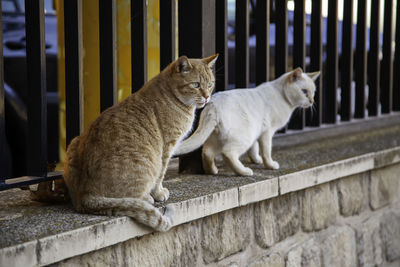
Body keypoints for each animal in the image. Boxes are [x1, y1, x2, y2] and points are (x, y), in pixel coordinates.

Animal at [63, 55, 219, 232]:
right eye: (196, 85)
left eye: (210, 85)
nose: (207, 97)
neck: (170, 93)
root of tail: (85, 193)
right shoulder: (167, 148)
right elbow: (161, 175)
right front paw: (159, 193)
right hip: (148, 161)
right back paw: (147, 198)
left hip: (73, 143)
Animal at [173, 67, 320, 176]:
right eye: (304, 92)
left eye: (313, 93)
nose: (311, 101)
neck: (283, 97)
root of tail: (213, 105)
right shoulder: (267, 132)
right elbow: (266, 152)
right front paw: (270, 165)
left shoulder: (258, 132)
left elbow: (254, 150)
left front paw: (256, 161)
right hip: (244, 136)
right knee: (228, 153)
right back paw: (244, 172)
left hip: (217, 137)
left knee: (207, 152)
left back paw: (213, 171)